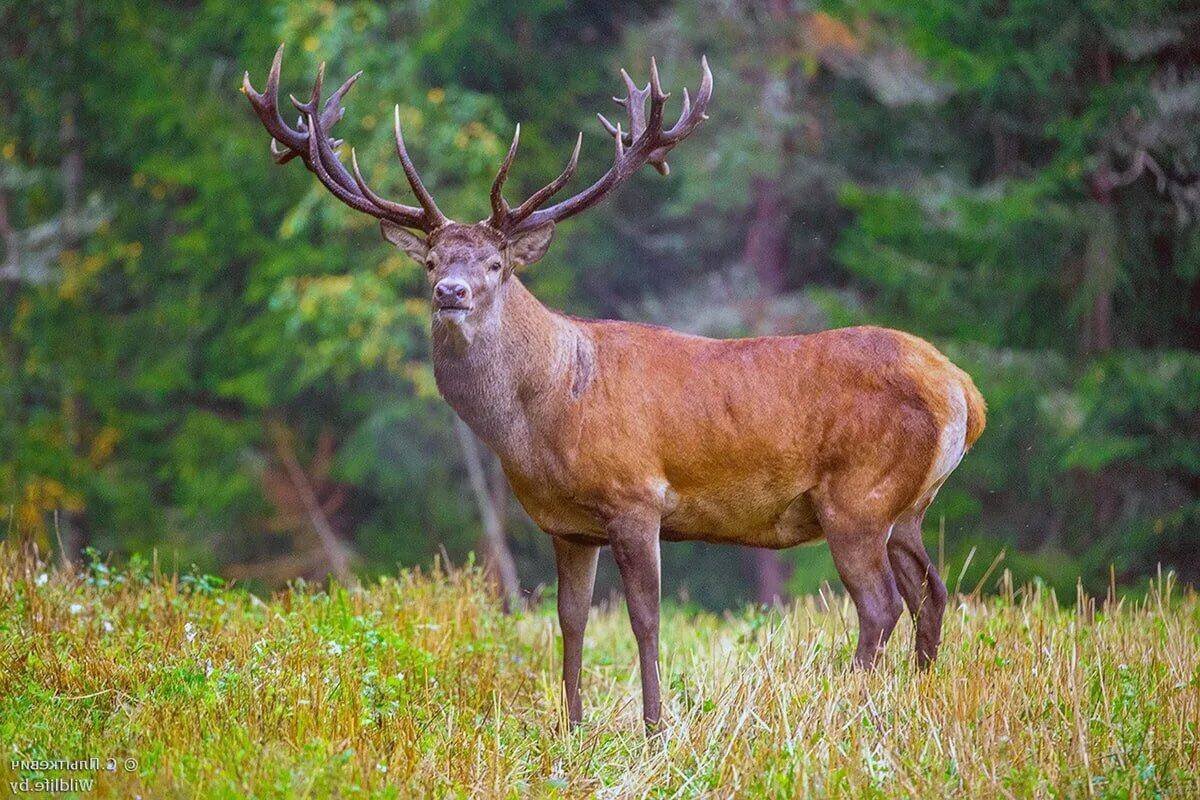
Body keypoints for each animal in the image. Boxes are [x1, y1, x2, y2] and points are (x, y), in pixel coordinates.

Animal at [243, 43, 984, 734]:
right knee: (932, 594)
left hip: (856, 495)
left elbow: (644, 619)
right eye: (430, 259)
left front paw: (655, 727)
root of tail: (962, 391)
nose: (450, 292)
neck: (545, 417)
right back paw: (916, 699)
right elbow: (569, 621)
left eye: (496, 263)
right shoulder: (567, 525)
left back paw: (846, 705)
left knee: (881, 604)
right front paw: (571, 726)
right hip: (907, 506)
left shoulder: (636, 496)